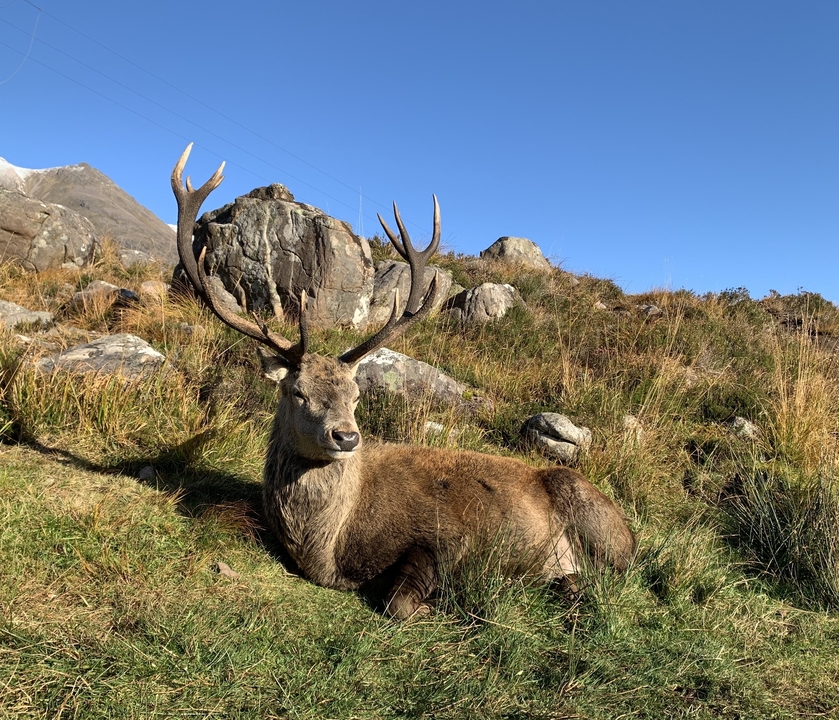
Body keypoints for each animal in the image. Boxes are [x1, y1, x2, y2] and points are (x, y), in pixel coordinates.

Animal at [172, 144, 636, 619]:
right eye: (297, 391)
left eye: (356, 395)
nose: (346, 436)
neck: (330, 548)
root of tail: (630, 531)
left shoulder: (450, 537)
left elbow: (399, 601)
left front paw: (441, 606)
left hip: (596, 521)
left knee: (618, 577)